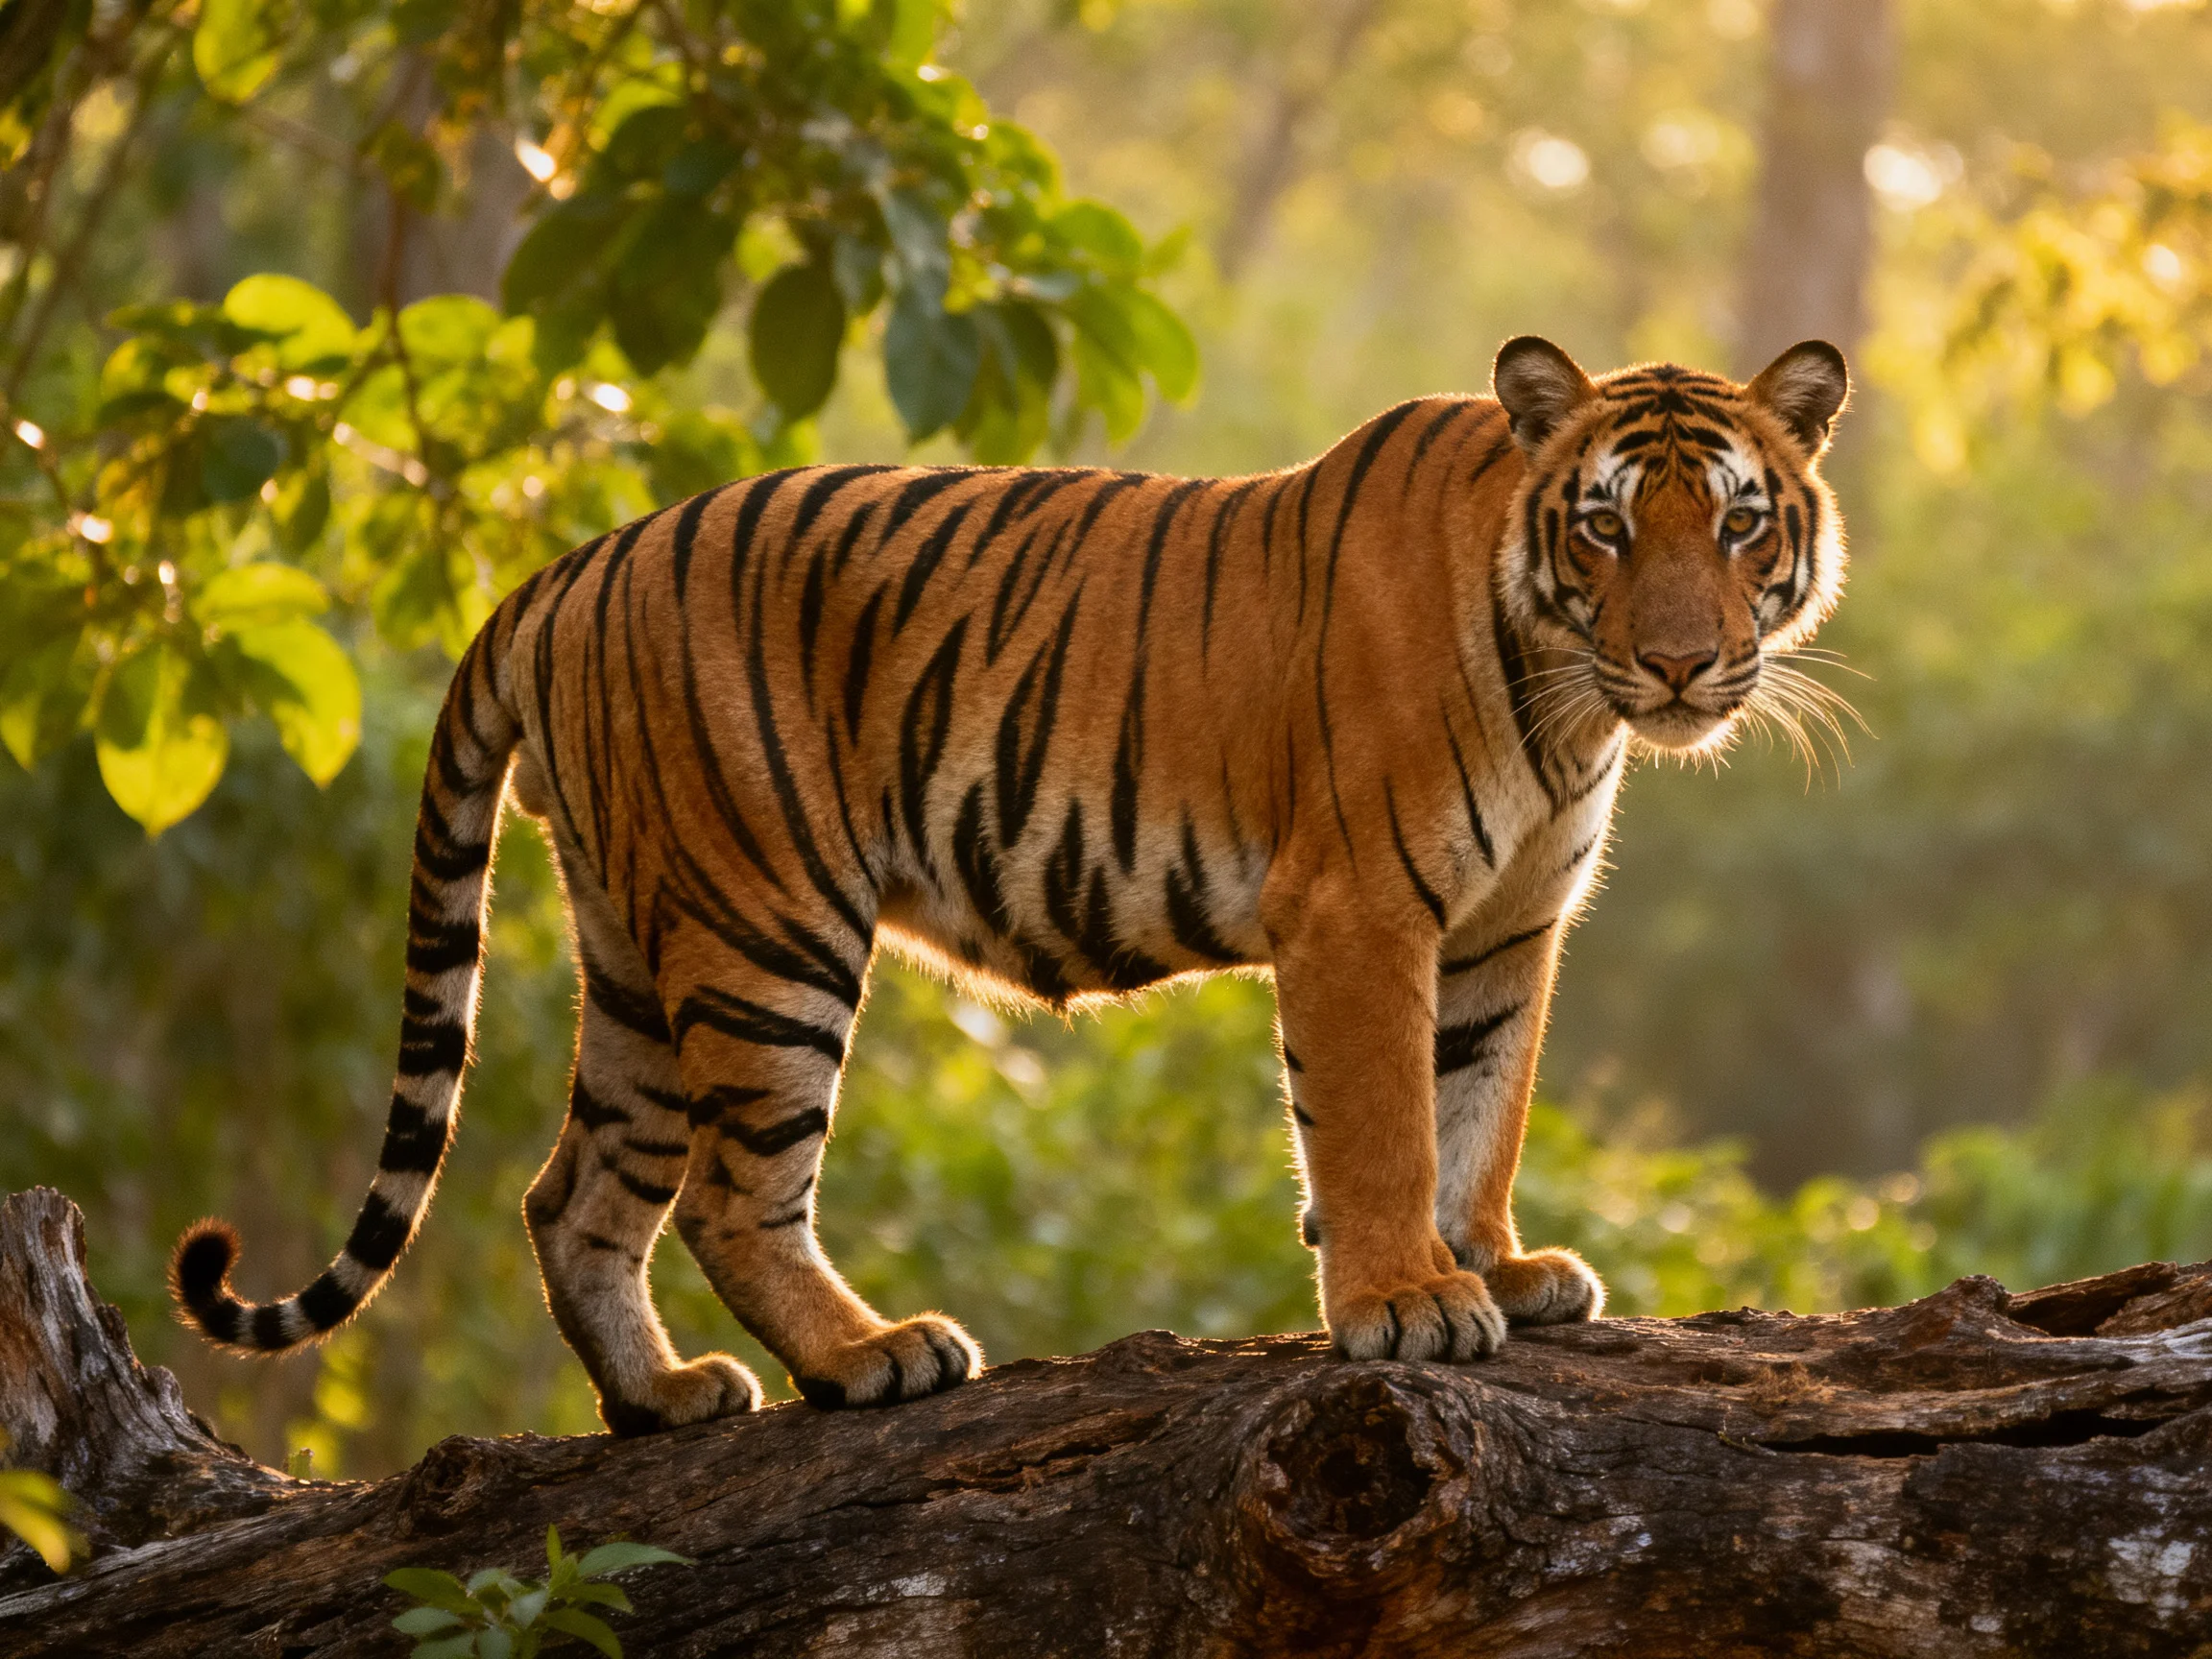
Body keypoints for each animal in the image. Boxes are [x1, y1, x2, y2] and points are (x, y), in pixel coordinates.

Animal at [171, 334, 1850, 1432]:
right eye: (1607, 525)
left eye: (1739, 521)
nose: (1681, 663)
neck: (1566, 702)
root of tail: (571, 566)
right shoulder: (1362, 908)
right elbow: (1382, 1125)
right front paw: (1408, 1301)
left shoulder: (1505, 931)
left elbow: (1478, 1109)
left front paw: (1495, 1263)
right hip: (763, 926)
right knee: (728, 1195)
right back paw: (868, 1359)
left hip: (640, 945)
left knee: (568, 1191)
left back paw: (662, 1397)